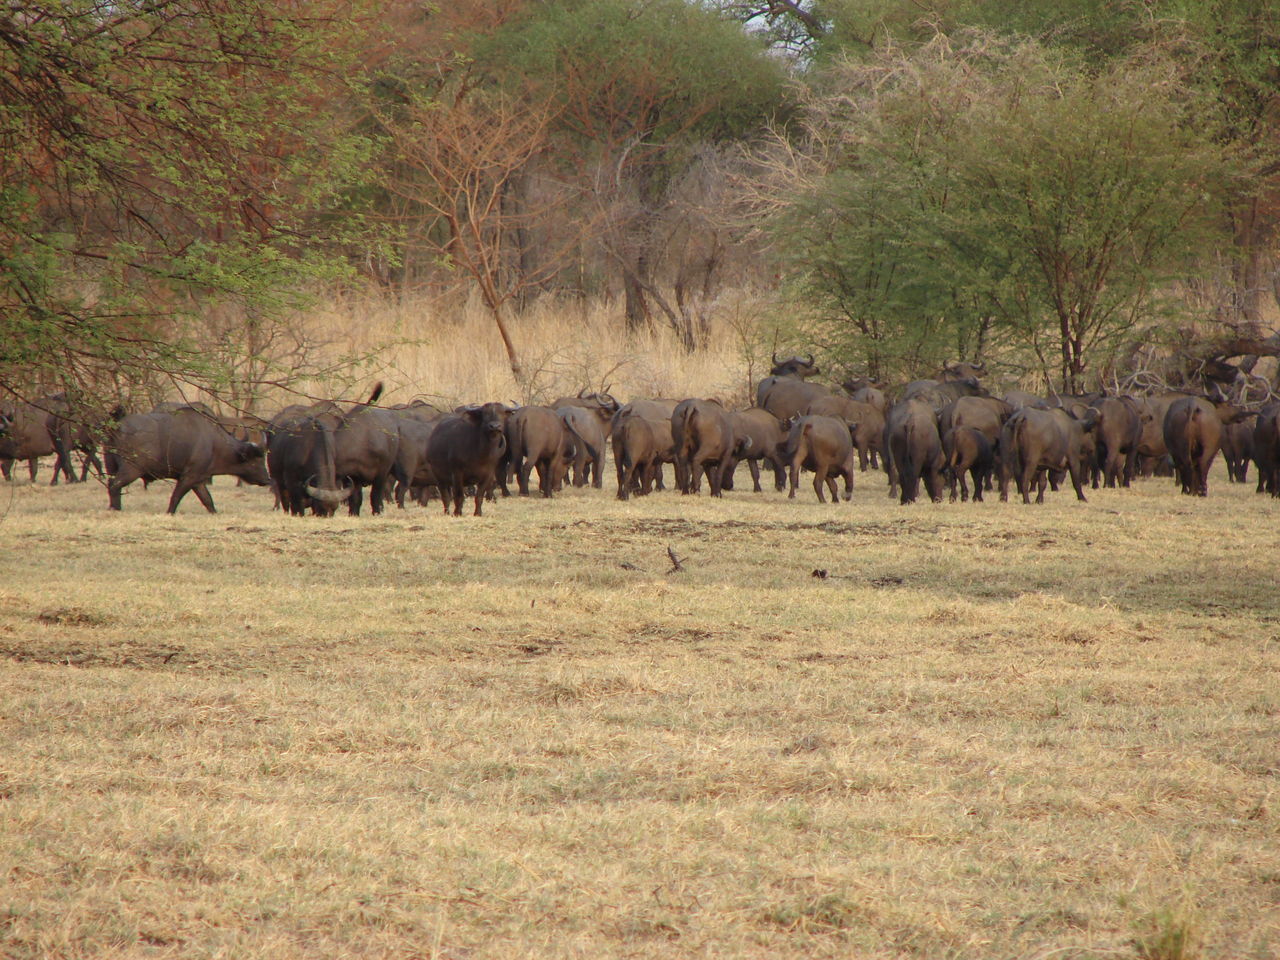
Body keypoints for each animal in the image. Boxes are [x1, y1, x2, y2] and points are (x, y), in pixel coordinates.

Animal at [106, 404, 270, 514]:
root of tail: (117, 425)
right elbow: (175, 497)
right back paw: (116, 509)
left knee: (110, 484)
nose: (267, 479)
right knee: (115, 485)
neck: (213, 442)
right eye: (257, 460)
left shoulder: (198, 480)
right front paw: (169, 513)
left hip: (112, 468)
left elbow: (208, 500)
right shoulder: (188, 477)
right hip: (132, 469)